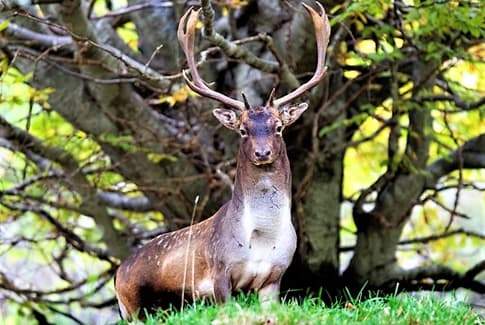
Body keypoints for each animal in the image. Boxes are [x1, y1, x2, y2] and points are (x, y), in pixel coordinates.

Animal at [113, 3, 328, 318]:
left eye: (278, 127)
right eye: (243, 130)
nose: (262, 153)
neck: (262, 240)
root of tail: (117, 273)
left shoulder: (275, 276)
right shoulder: (218, 270)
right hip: (131, 303)